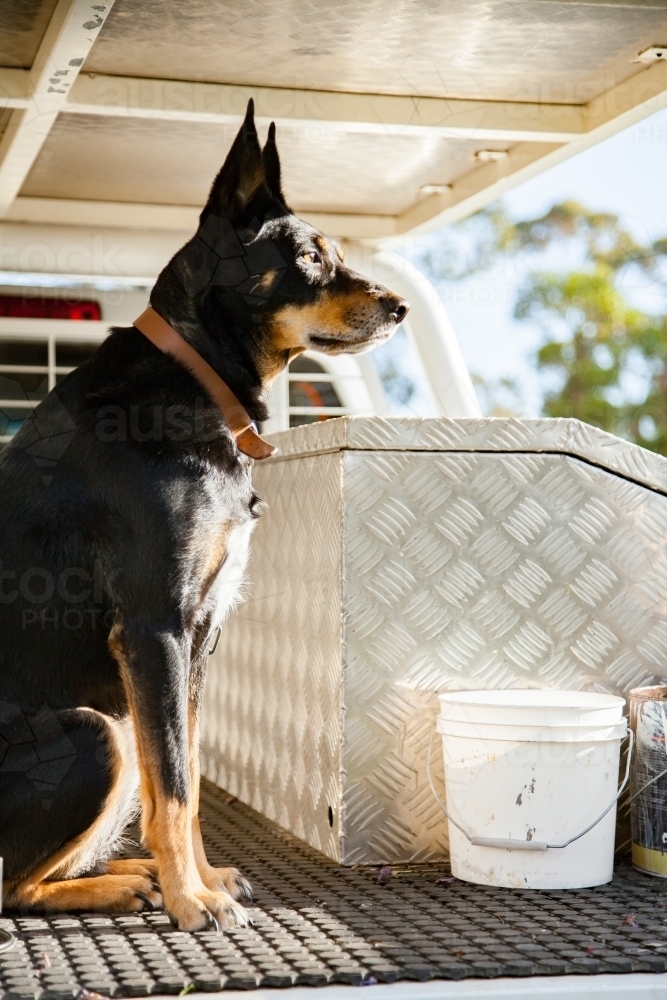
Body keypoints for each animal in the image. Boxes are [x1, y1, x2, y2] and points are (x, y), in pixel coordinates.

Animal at [0, 101, 408, 928]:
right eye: (309, 257)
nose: (399, 308)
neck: (195, 375)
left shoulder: (198, 635)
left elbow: (181, 781)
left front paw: (203, 879)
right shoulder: (155, 626)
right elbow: (178, 786)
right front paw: (194, 902)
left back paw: (128, 876)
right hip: (95, 730)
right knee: (8, 886)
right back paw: (123, 883)